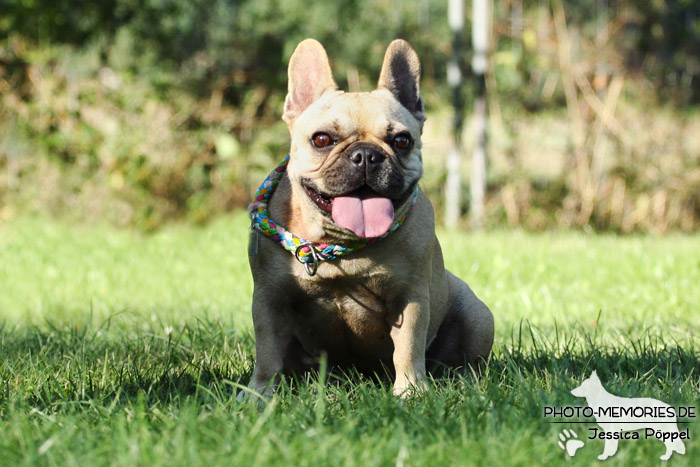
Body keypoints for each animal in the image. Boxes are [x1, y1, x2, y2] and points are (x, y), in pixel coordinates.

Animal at [243, 38, 494, 400]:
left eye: (402, 141)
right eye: (322, 139)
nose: (366, 155)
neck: (339, 245)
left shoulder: (410, 297)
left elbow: (408, 348)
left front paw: (410, 392)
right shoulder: (269, 299)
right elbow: (267, 354)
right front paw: (258, 395)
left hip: (478, 315)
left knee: (467, 360)